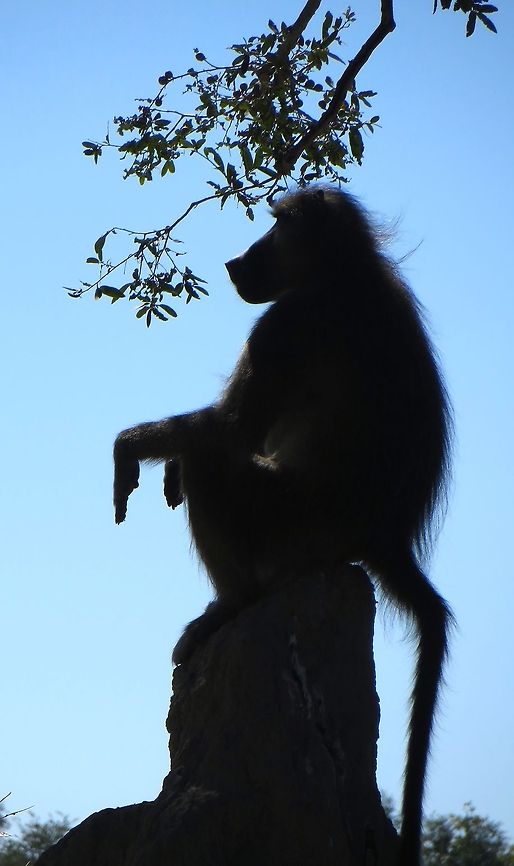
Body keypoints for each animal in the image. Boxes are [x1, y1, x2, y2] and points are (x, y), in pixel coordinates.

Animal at [113, 186, 453, 866]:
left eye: (276, 230)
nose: (235, 261)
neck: (345, 272)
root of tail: (383, 538)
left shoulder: (286, 325)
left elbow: (232, 430)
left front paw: (132, 448)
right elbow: (233, 431)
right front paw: (163, 468)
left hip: (293, 527)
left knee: (212, 460)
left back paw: (231, 603)